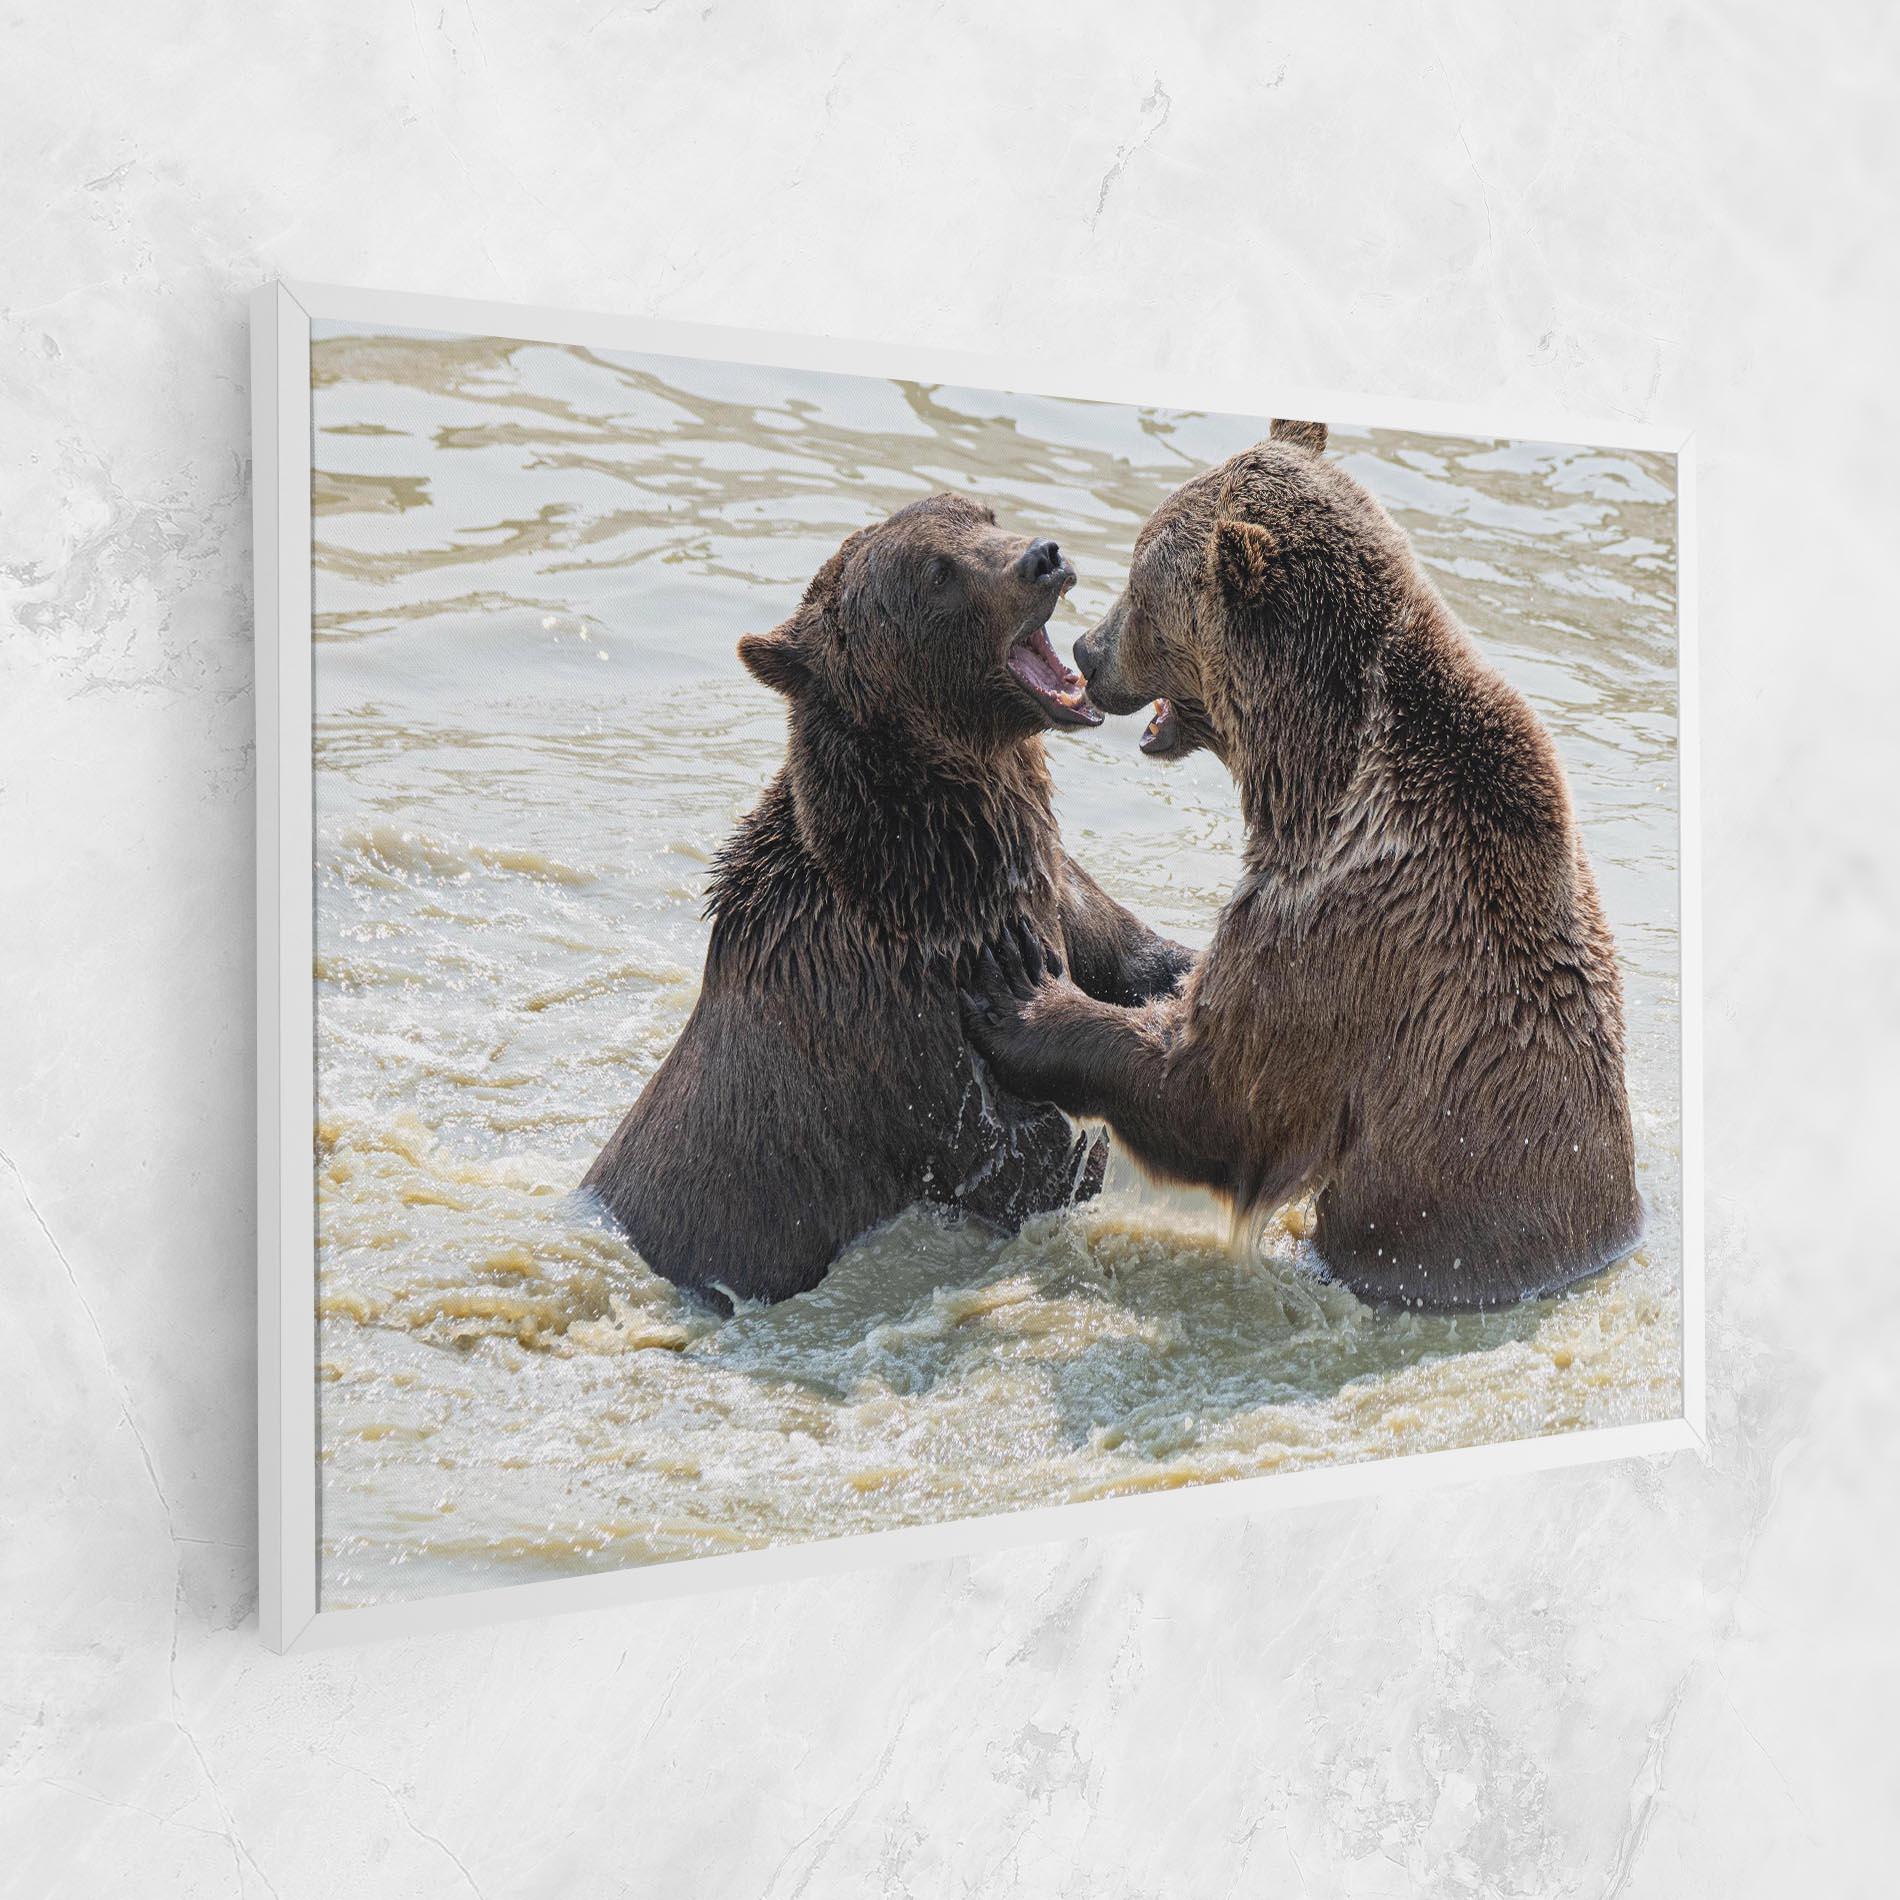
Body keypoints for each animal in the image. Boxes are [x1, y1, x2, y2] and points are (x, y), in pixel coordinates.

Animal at [582, 492, 1193, 1309]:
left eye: (981, 513)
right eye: (937, 573)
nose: (1043, 556)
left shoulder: (1055, 887)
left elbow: (1142, 957)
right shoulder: (908, 1035)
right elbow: (1034, 1160)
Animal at [961, 420, 1643, 1310]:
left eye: (1141, 585)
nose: (1087, 648)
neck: (1312, 775)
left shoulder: (1339, 932)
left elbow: (1215, 1089)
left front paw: (1021, 999)